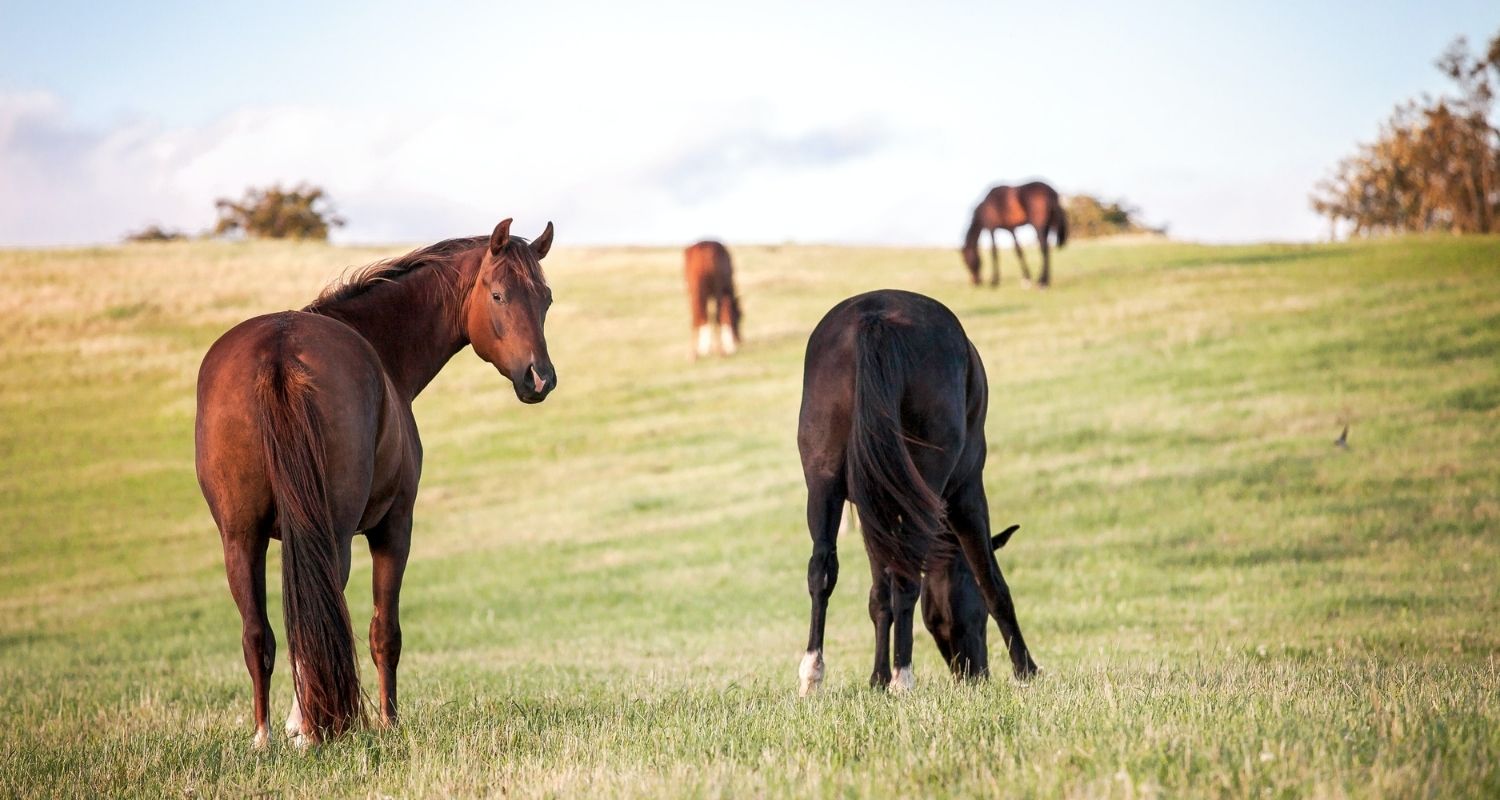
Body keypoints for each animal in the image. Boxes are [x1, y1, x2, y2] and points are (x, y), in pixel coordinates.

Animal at [193, 216, 558, 741]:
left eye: (545, 298)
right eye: (499, 295)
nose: (539, 378)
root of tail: (278, 352)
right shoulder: (394, 526)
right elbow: (385, 633)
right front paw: (387, 721)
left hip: (240, 537)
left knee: (258, 634)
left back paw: (266, 735)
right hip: (334, 533)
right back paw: (312, 728)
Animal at [798, 286, 1032, 693]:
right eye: (978, 614)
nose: (975, 673)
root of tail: (874, 318)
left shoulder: (872, 511)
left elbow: (879, 595)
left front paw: (876, 679)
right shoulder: (967, 494)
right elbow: (991, 580)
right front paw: (1026, 670)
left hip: (823, 481)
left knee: (822, 568)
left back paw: (813, 675)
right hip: (933, 484)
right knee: (908, 578)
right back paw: (903, 678)